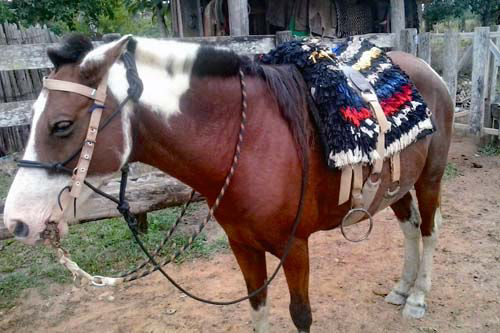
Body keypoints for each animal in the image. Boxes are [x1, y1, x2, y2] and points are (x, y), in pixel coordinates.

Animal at [3, 34, 456, 332]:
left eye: (61, 125)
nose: (16, 222)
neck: (251, 142)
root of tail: (428, 71)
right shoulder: (243, 246)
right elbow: (257, 308)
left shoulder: (295, 247)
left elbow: (301, 314)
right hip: (397, 186)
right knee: (410, 226)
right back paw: (402, 288)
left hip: (430, 178)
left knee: (430, 230)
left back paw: (418, 298)